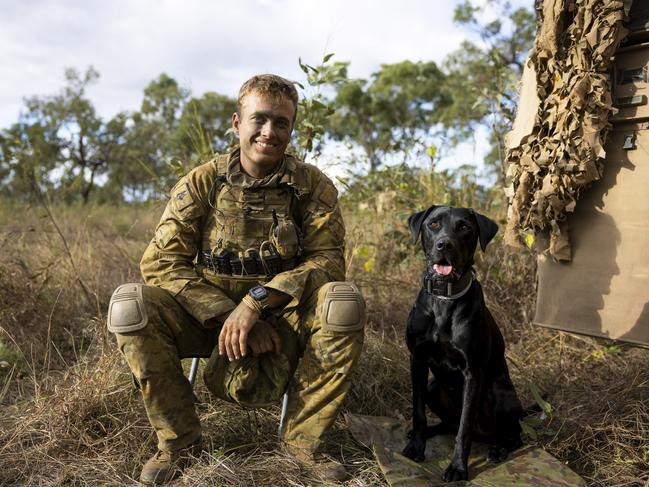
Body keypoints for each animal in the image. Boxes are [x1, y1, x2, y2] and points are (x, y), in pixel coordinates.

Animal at [400, 205, 528, 480]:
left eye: (464, 228)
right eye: (433, 224)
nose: (444, 245)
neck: (444, 297)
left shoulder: (473, 372)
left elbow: (464, 427)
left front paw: (458, 467)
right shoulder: (417, 360)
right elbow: (418, 412)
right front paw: (416, 447)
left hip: (502, 395)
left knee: (514, 435)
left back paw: (499, 450)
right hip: (433, 387)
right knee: (448, 424)